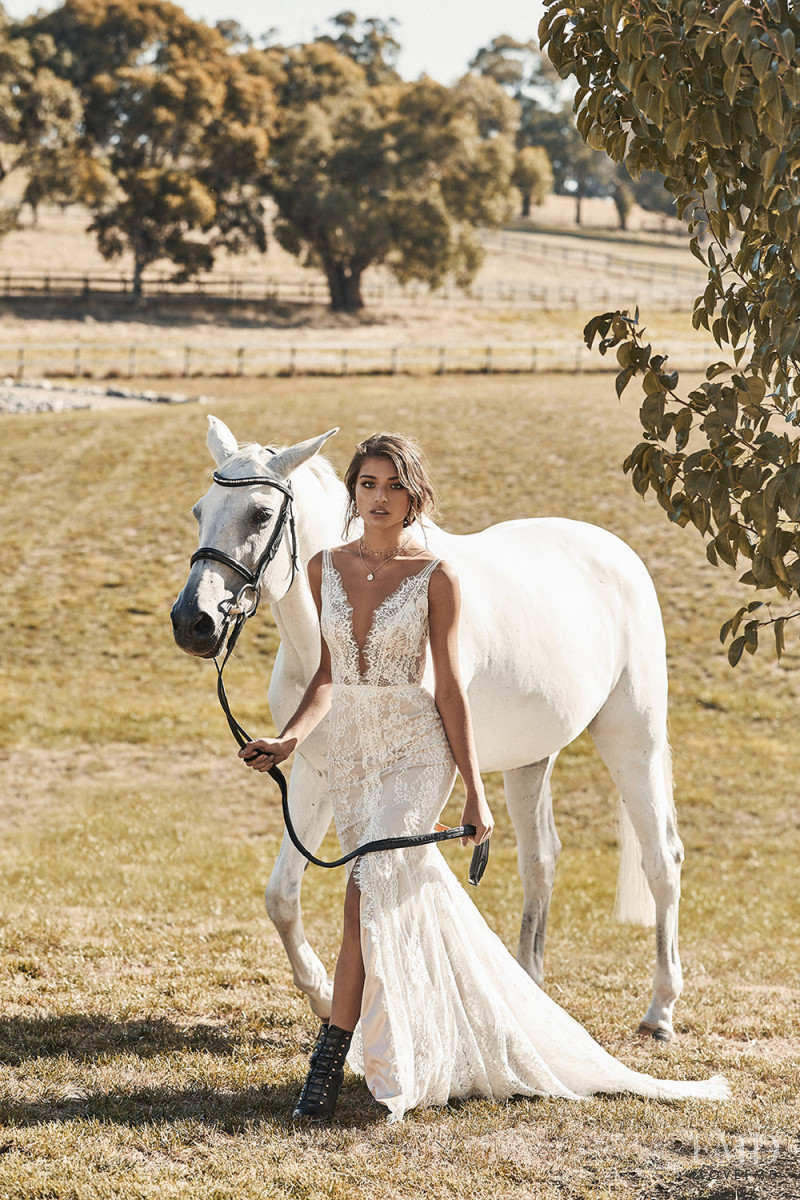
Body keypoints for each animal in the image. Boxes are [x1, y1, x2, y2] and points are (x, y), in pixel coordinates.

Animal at [172, 422, 686, 1041]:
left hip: (634, 741)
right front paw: (324, 997)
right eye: (200, 510)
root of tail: (621, 555)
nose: (192, 622)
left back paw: (660, 1010)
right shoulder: (315, 770)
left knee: (662, 860)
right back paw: (532, 993)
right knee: (541, 860)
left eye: (261, 513)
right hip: (529, 761)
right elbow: (281, 895)